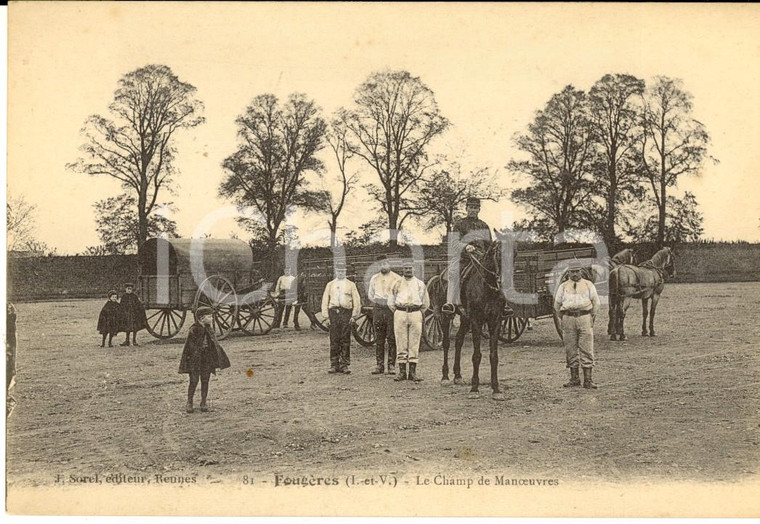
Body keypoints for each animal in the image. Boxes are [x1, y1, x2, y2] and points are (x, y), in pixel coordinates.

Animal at [440, 241, 504, 402]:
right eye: (499, 255)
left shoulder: (495, 321)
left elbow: (494, 356)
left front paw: (496, 390)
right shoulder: (476, 321)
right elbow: (476, 356)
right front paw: (474, 389)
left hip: (465, 319)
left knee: (458, 341)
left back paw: (457, 375)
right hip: (444, 317)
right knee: (446, 343)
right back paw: (445, 376)